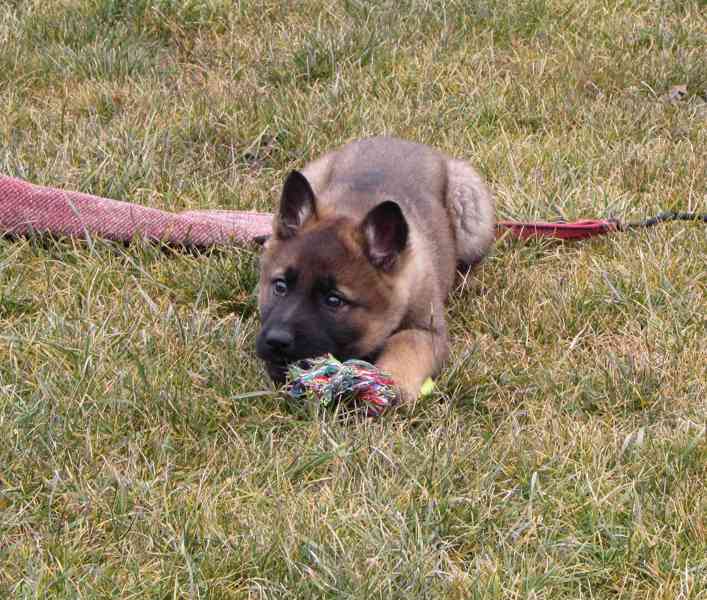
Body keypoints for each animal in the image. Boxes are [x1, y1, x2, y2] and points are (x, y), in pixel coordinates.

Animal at [258, 138, 496, 404]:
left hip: (472, 214)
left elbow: (406, 343)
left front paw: (394, 381)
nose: (276, 341)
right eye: (280, 286)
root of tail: (404, 141)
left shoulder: (429, 331)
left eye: (334, 300)